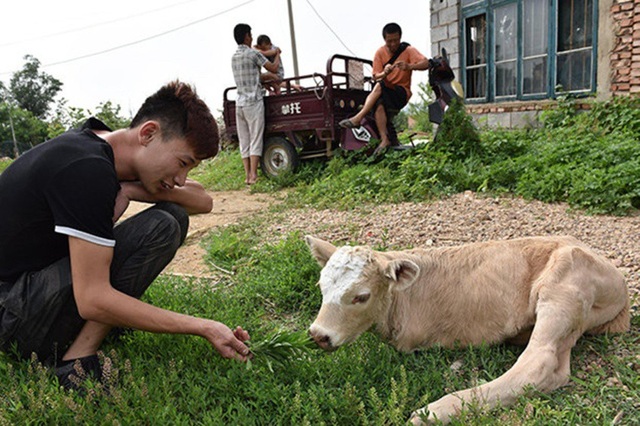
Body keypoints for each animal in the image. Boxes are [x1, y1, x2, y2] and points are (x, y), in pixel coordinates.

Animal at [304, 235, 632, 424]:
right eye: (321, 286)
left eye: (361, 296)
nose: (319, 334)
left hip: (562, 289)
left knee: (540, 362)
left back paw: (433, 412)